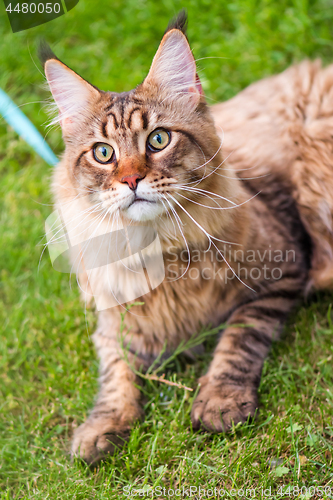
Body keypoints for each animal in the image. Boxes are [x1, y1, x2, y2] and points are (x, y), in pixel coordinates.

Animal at [40, 12, 312, 464]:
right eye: (103, 153)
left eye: (158, 139)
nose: (131, 180)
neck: (159, 250)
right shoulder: (113, 325)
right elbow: (115, 374)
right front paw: (102, 426)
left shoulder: (284, 269)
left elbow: (239, 338)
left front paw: (220, 400)